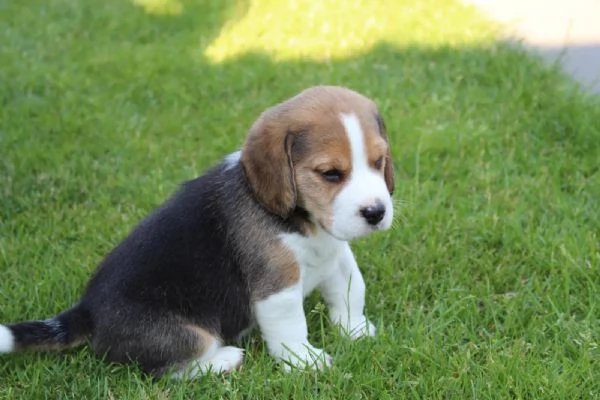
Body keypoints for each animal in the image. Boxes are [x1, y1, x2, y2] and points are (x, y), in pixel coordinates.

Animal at [1, 84, 394, 378]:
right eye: (330, 174)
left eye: (378, 162)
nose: (376, 212)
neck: (304, 221)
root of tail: (87, 312)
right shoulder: (277, 285)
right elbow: (291, 327)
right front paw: (305, 362)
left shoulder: (335, 252)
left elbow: (350, 288)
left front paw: (354, 329)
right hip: (184, 335)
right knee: (169, 371)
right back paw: (224, 359)